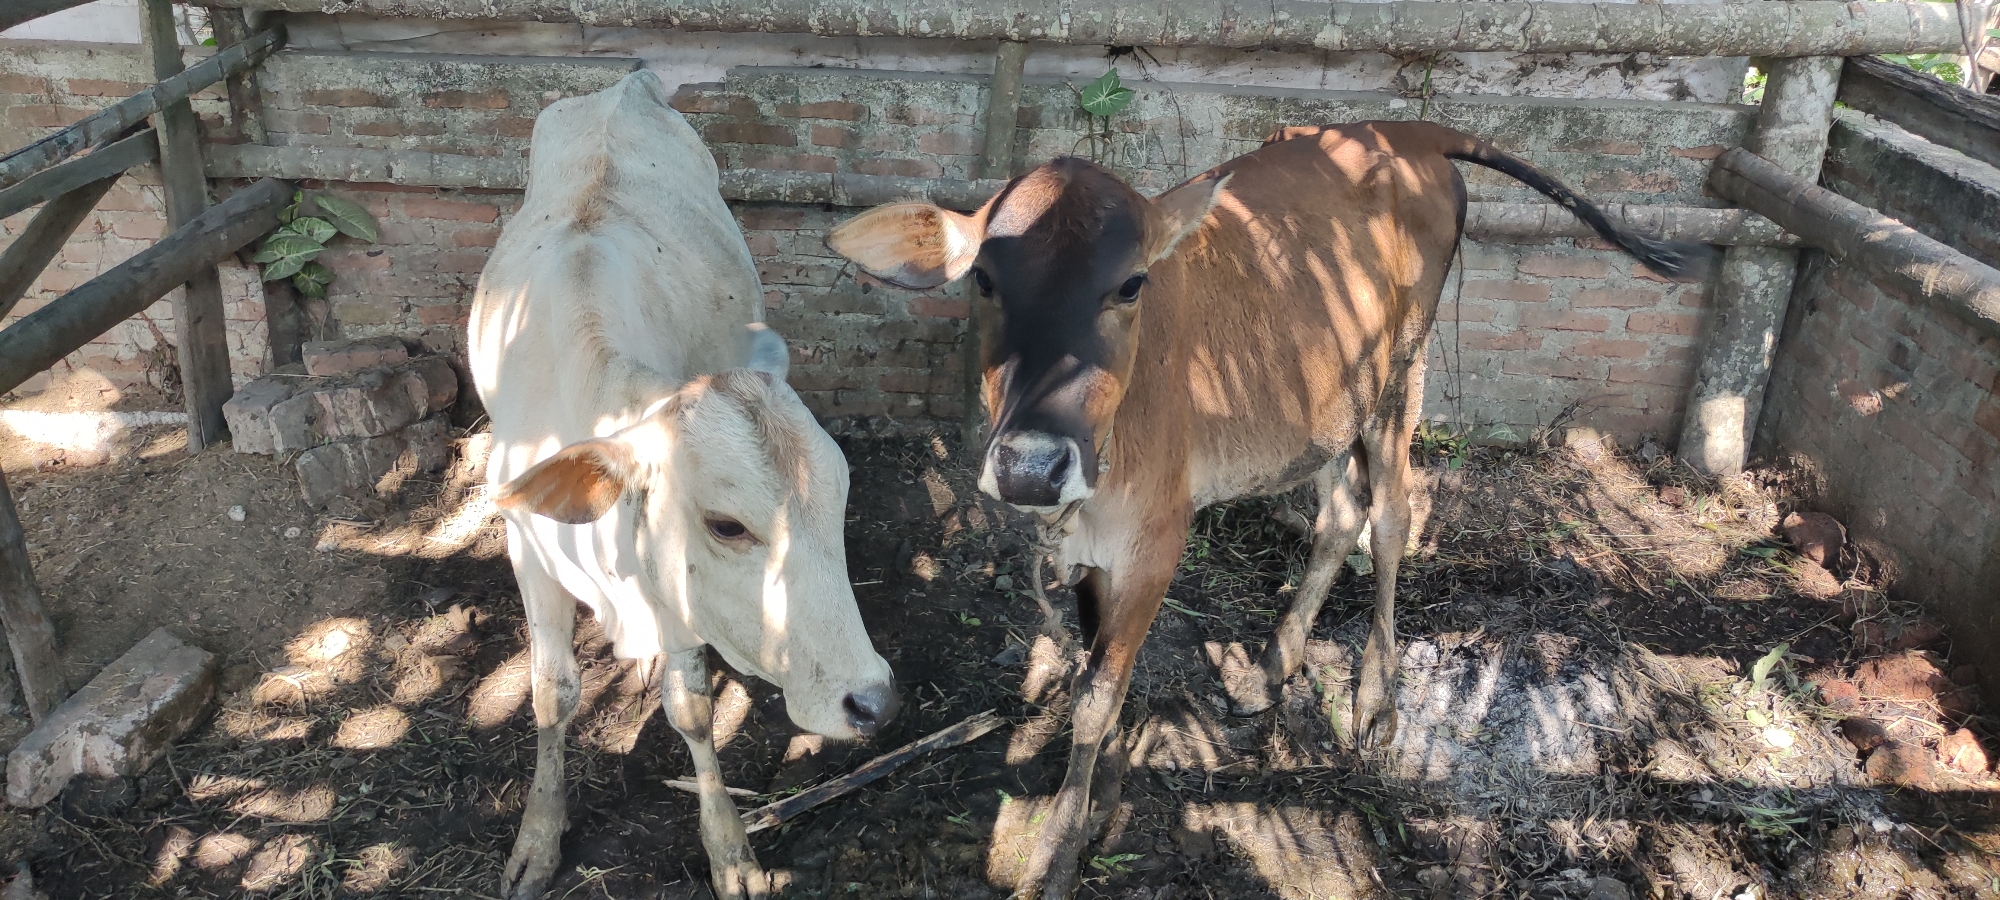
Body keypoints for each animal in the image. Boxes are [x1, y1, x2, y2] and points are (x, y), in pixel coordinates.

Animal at [470, 70, 897, 900]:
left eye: (840, 503)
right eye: (727, 524)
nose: (872, 700)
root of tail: (623, 85)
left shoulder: (669, 582)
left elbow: (692, 709)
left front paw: (730, 851)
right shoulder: (527, 550)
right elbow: (551, 691)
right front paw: (538, 837)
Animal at [825, 120, 1708, 898]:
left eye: (1130, 283)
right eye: (983, 279)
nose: (1032, 468)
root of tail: (1414, 132)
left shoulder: (1158, 542)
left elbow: (1097, 696)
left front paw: (1057, 853)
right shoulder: (1090, 552)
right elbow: (1097, 670)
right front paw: (1099, 800)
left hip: (1403, 373)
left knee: (1393, 517)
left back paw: (1377, 698)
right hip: (1330, 403)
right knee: (1341, 513)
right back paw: (1276, 661)